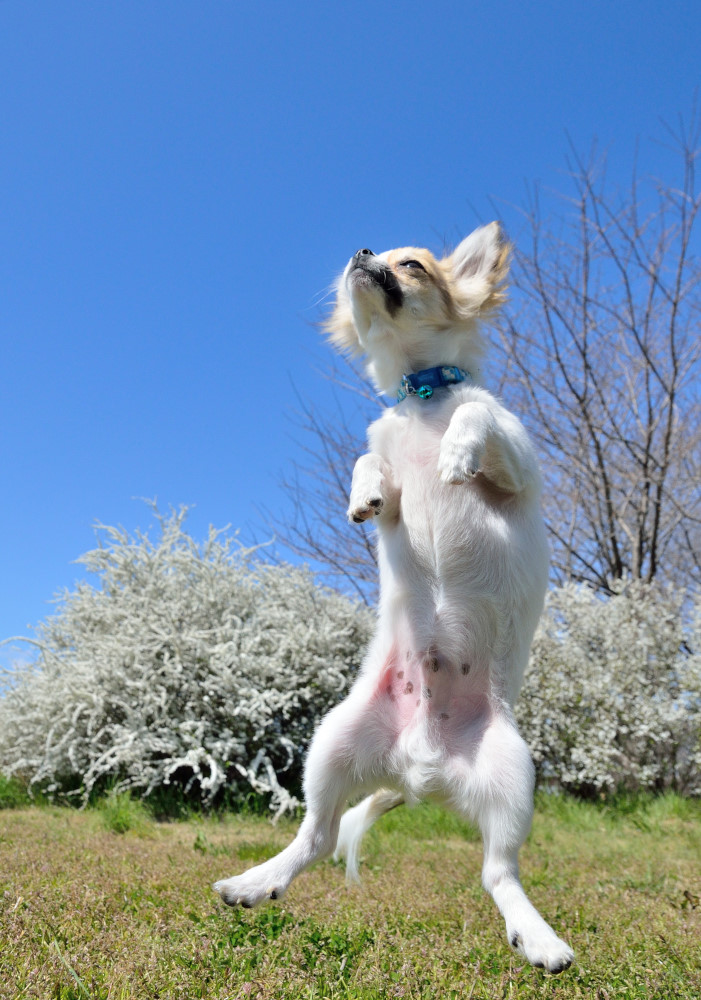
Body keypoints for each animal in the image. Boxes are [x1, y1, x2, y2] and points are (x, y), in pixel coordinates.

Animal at [215, 223, 576, 972]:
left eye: (411, 265)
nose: (359, 253)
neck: (421, 400)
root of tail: (421, 772)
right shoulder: (380, 447)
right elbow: (367, 458)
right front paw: (367, 493)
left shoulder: (519, 467)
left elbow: (476, 413)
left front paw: (456, 454)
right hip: (332, 745)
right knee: (317, 838)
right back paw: (256, 882)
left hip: (511, 775)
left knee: (498, 874)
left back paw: (539, 938)